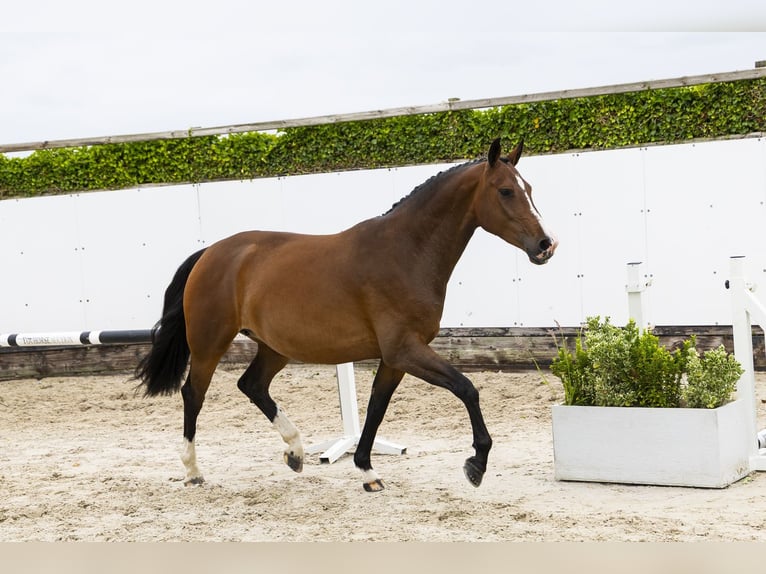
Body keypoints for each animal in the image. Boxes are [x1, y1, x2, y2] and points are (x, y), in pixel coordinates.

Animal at [135, 138, 557, 492]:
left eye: (530, 189)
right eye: (505, 191)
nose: (546, 245)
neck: (405, 253)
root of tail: (209, 253)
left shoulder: (395, 357)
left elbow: (376, 408)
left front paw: (368, 471)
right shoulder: (406, 350)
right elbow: (467, 388)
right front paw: (476, 465)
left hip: (275, 347)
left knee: (252, 385)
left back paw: (295, 452)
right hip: (210, 343)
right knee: (194, 394)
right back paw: (193, 471)